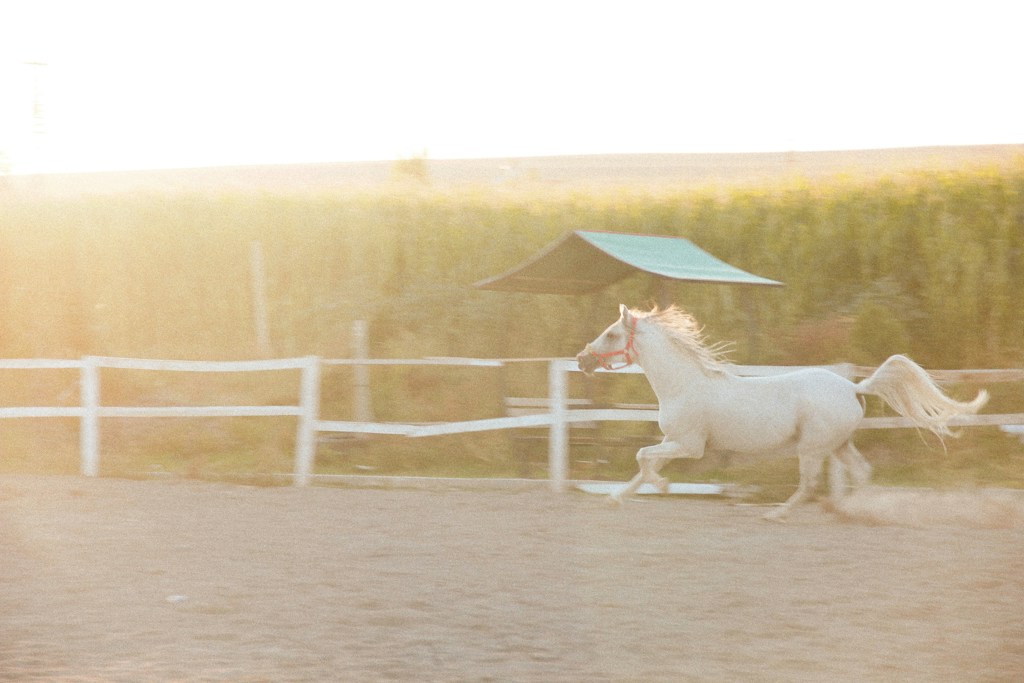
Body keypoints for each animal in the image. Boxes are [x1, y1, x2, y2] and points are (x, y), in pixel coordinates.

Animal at [576, 304, 989, 520]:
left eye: (611, 334)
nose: (581, 360)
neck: (685, 384)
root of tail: (853, 387)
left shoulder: (689, 445)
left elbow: (641, 456)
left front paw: (660, 487)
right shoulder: (672, 440)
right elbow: (644, 464)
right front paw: (618, 497)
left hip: (812, 448)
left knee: (808, 484)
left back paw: (777, 514)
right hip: (838, 445)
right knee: (861, 473)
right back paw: (847, 511)